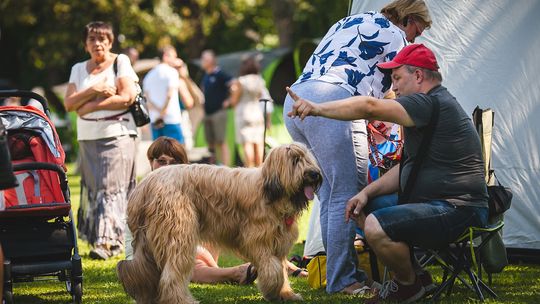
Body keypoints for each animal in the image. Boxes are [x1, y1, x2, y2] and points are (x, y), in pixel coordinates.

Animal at [117, 143, 320, 304]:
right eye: (295, 160)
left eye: (308, 158)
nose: (315, 174)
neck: (271, 193)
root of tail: (144, 186)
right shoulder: (258, 241)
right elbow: (274, 270)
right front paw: (272, 291)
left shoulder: (279, 245)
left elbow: (282, 270)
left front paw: (286, 294)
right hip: (178, 232)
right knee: (172, 274)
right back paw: (181, 300)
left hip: (150, 242)